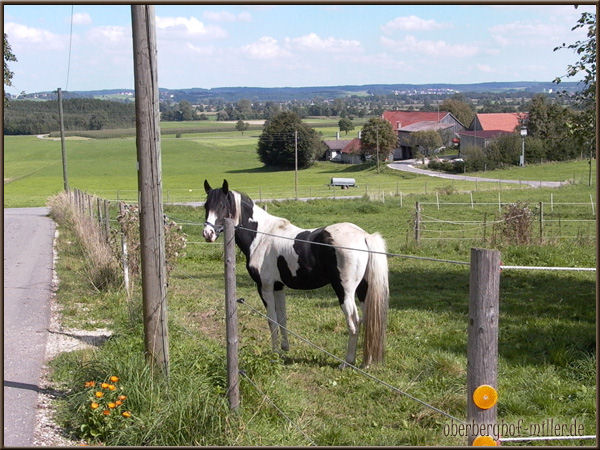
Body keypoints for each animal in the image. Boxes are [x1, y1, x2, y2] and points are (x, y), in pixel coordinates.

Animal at [202, 178, 390, 368]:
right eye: (206, 206)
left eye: (222, 205)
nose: (208, 234)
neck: (261, 236)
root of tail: (364, 236)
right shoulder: (278, 287)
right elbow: (282, 318)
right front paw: (284, 348)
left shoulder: (265, 287)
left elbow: (271, 319)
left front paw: (275, 353)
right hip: (364, 290)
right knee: (369, 321)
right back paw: (366, 363)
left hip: (345, 292)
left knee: (354, 323)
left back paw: (347, 362)